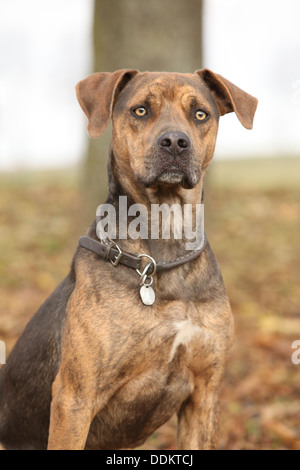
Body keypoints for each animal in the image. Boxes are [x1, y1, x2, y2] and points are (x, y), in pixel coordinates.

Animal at [0, 69, 258, 448]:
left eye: (200, 114)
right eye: (140, 110)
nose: (175, 142)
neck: (164, 247)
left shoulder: (205, 393)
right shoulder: (74, 398)